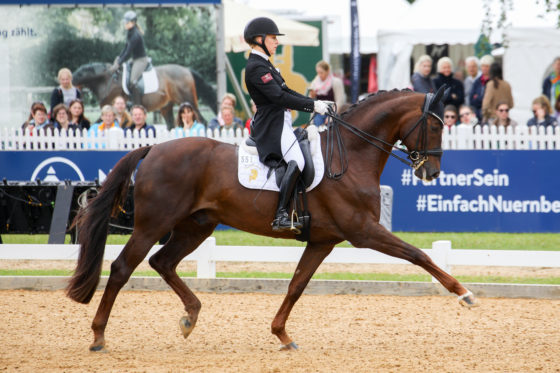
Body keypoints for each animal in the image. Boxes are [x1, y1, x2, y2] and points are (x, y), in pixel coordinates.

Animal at [65, 86, 476, 352]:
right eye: (436, 125)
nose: (432, 173)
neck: (352, 153)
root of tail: (152, 149)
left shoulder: (322, 240)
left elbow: (296, 285)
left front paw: (282, 335)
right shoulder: (364, 231)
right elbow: (418, 254)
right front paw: (464, 293)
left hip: (196, 226)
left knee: (162, 262)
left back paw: (190, 317)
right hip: (153, 225)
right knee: (122, 268)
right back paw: (98, 336)